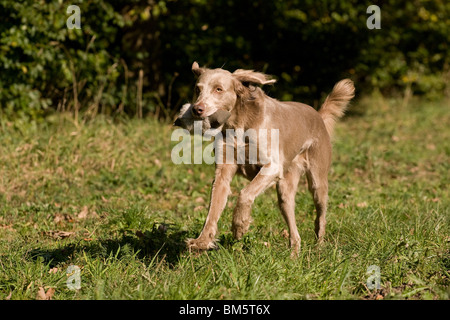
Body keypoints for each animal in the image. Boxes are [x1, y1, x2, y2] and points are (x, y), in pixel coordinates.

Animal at [174, 60, 354, 255]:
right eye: (197, 89)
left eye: (218, 89)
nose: (196, 109)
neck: (239, 123)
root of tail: (318, 115)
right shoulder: (223, 172)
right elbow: (213, 209)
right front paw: (202, 241)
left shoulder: (272, 166)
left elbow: (245, 194)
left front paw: (239, 225)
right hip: (284, 191)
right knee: (294, 229)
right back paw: (293, 254)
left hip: (317, 181)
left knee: (321, 216)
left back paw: (319, 246)